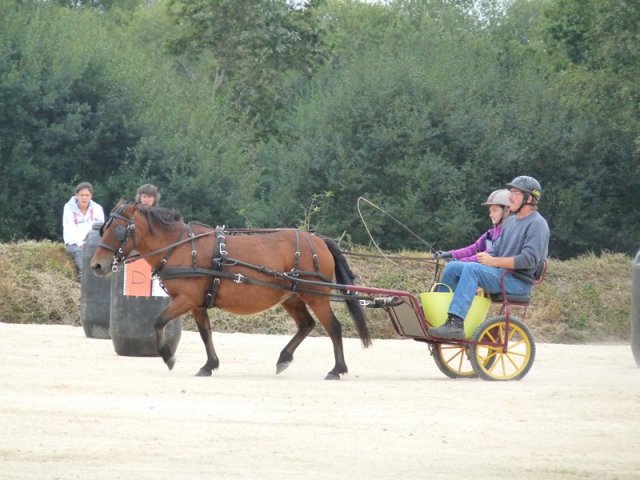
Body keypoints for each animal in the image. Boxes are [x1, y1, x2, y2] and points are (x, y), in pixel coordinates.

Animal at [90, 202, 371, 380]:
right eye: (103, 228)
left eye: (117, 230)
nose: (96, 265)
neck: (180, 247)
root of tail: (318, 241)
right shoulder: (198, 303)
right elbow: (205, 334)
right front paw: (209, 365)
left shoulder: (186, 299)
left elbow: (159, 321)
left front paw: (168, 356)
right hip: (291, 296)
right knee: (306, 325)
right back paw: (284, 358)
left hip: (315, 294)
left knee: (333, 327)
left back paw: (337, 369)